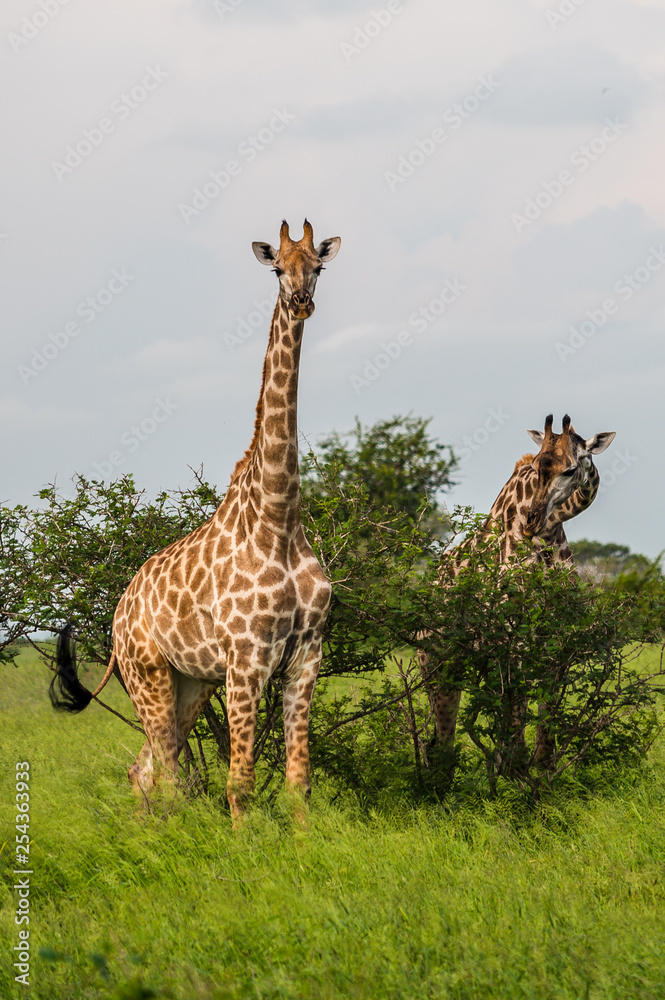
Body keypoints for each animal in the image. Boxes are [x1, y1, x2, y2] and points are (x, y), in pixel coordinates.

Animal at [50, 220, 341, 824]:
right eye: (277, 268)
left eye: (319, 266)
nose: (301, 302)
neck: (279, 519)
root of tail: (119, 614)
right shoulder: (247, 661)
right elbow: (240, 783)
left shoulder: (306, 657)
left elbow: (298, 782)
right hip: (149, 675)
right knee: (164, 773)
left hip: (190, 682)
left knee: (144, 769)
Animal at [419, 413, 615, 765]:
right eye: (537, 466)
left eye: (570, 469)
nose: (532, 521)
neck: (547, 540)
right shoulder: (512, 644)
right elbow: (515, 727)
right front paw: (515, 775)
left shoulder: (559, 644)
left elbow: (544, 736)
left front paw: (541, 776)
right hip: (436, 662)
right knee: (442, 741)